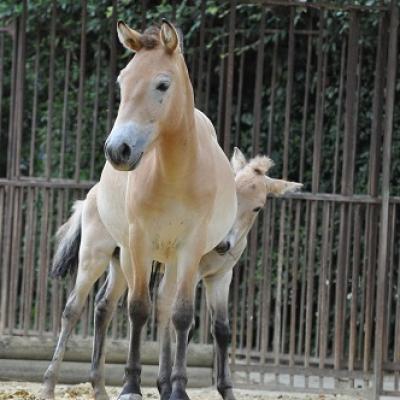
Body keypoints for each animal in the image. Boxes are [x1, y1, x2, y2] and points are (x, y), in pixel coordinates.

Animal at [41, 20, 238, 400]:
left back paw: (107, 387)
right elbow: (137, 309)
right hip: (102, 253)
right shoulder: (139, 241)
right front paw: (131, 386)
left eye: (162, 84)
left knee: (118, 307)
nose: (117, 150)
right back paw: (49, 385)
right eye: (123, 81)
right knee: (75, 309)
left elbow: (181, 316)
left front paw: (177, 389)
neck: (177, 174)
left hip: (149, 261)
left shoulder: (190, 250)